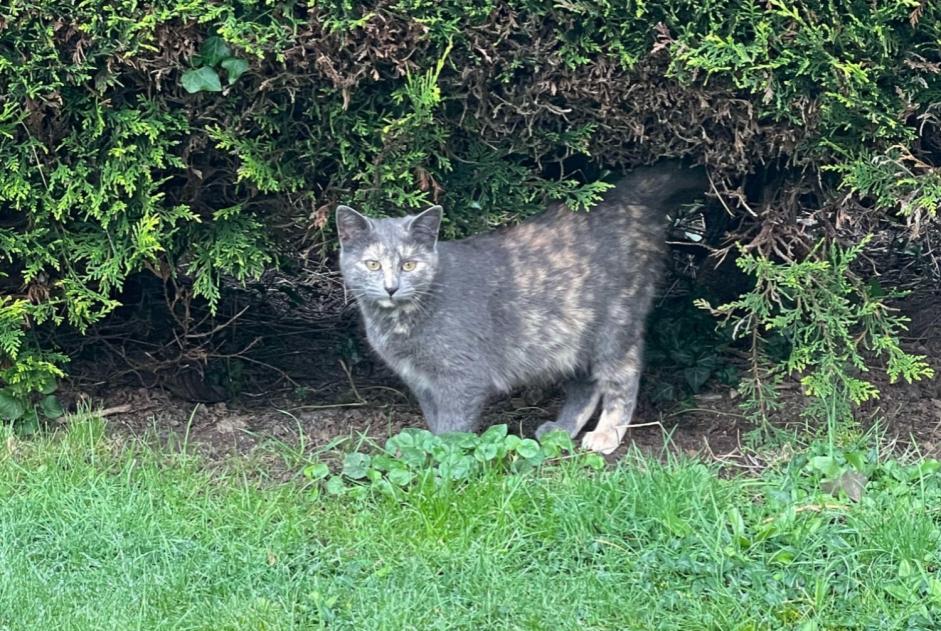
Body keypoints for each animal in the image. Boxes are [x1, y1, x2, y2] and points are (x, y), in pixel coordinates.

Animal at [336, 160, 704, 452]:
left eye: (409, 264)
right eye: (372, 264)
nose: (391, 287)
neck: (397, 323)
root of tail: (625, 196)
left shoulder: (462, 376)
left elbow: (453, 426)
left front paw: (442, 459)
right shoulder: (421, 382)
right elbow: (434, 419)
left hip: (615, 322)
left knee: (623, 376)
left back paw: (606, 435)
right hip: (572, 332)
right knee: (585, 384)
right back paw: (562, 429)